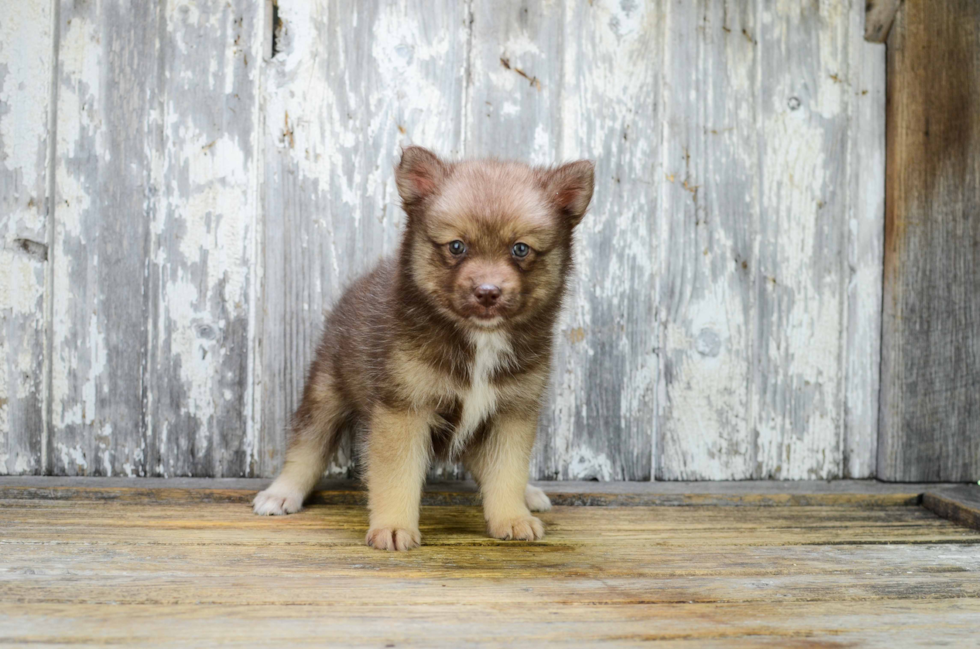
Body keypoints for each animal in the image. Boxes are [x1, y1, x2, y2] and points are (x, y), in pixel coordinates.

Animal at [253, 148, 592, 552]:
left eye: (520, 249)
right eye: (457, 246)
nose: (488, 293)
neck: (480, 341)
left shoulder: (511, 412)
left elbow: (506, 471)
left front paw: (511, 516)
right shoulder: (404, 410)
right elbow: (396, 477)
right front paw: (393, 526)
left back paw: (528, 494)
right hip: (326, 391)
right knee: (307, 446)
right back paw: (282, 492)